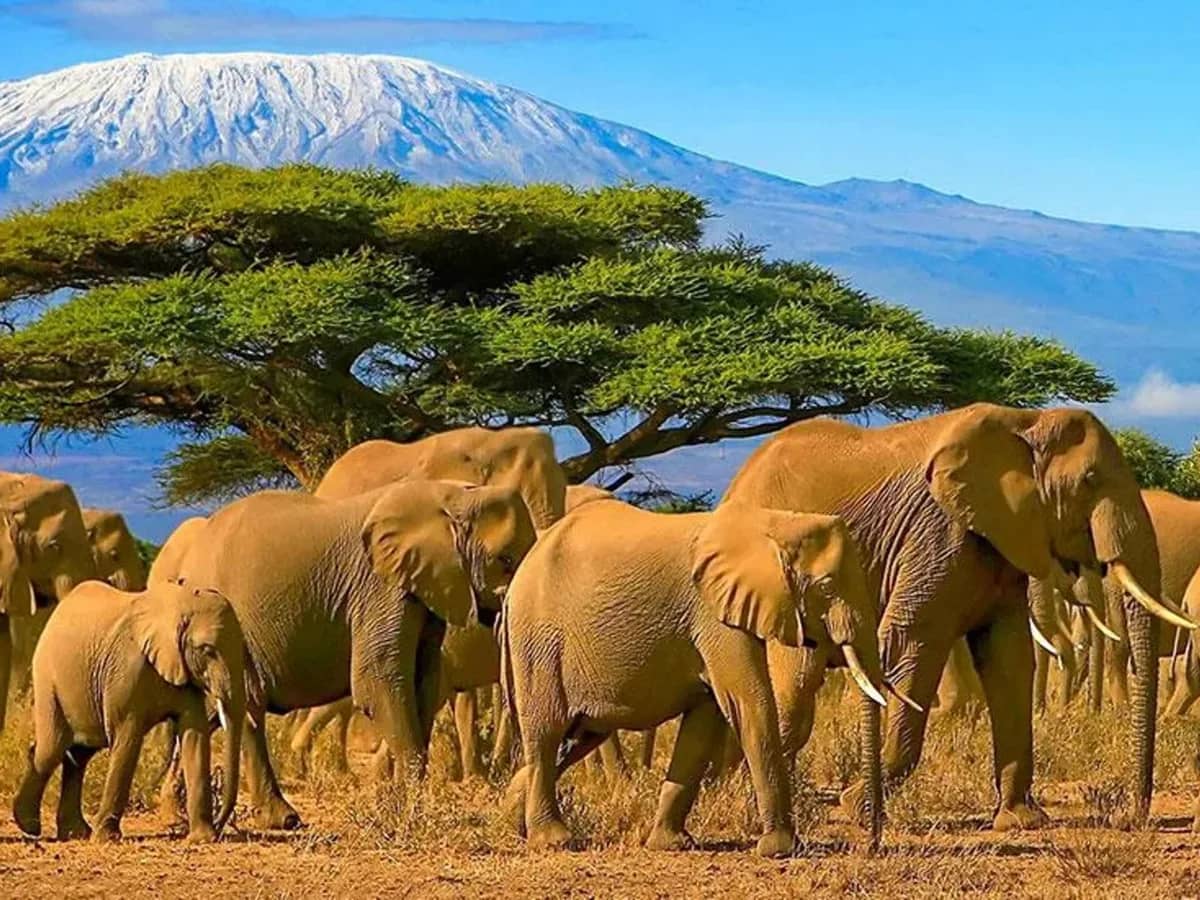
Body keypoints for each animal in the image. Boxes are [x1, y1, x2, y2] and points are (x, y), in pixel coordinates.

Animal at [12, 580, 246, 843]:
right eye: (207, 650)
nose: (220, 824)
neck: (179, 604)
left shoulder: (182, 670)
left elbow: (194, 736)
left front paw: (202, 839)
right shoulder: (125, 670)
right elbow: (127, 740)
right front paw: (106, 839)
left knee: (79, 755)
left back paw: (75, 832)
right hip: (47, 677)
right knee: (51, 749)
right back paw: (30, 826)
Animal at [170, 479, 536, 829]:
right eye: (504, 560)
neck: (454, 494)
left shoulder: (425, 590)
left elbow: (425, 684)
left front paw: (396, 806)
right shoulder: (380, 587)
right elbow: (378, 681)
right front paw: (407, 815)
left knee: (231, 710)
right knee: (240, 708)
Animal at [501, 497, 889, 857]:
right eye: (827, 588)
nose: (871, 843)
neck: (774, 522)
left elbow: (704, 721)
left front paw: (671, 845)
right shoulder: (713, 615)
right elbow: (749, 704)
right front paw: (781, 849)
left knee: (577, 737)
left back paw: (510, 817)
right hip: (538, 641)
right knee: (547, 732)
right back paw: (553, 840)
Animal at [723, 403, 1191, 829]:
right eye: (1090, 480)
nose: (1129, 816)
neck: (1026, 421)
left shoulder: (1001, 542)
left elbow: (1009, 659)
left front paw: (1021, 820)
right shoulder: (938, 534)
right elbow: (914, 641)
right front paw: (857, 807)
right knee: (796, 684)